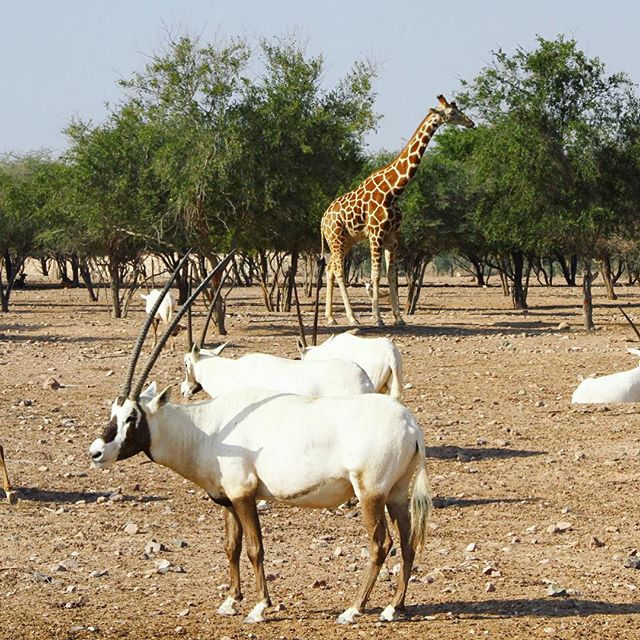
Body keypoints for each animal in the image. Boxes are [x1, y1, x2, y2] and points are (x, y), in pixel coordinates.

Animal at [320, 94, 476, 324]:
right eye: (452, 113)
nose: (471, 123)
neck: (393, 191)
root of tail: (322, 220)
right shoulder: (375, 235)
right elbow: (376, 275)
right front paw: (378, 318)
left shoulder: (393, 237)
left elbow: (391, 275)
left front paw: (398, 318)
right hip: (337, 238)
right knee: (339, 271)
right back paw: (352, 318)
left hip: (345, 240)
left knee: (330, 268)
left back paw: (331, 317)